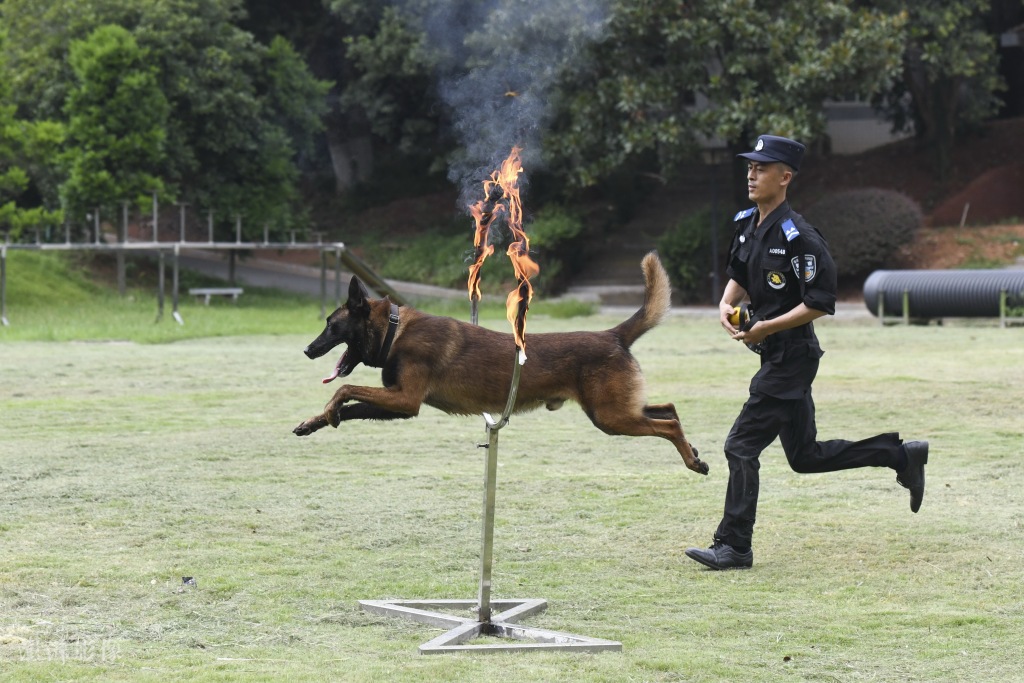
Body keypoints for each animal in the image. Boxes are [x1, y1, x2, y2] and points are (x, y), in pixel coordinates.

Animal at [296, 250, 708, 475]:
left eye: (330, 325)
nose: (307, 350)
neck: (394, 331)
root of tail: (613, 334)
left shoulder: (405, 399)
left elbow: (346, 388)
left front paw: (328, 409)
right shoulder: (398, 404)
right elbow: (351, 406)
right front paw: (315, 421)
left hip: (611, 416)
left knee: (669, 423)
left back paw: (692, 460)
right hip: (614, 410)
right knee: (669, 408)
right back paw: (694, 451)